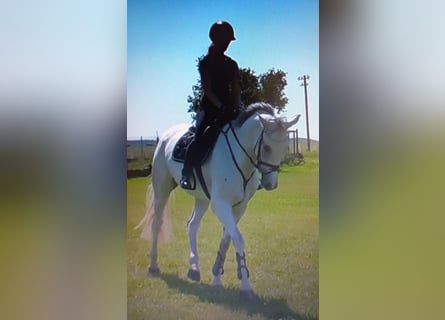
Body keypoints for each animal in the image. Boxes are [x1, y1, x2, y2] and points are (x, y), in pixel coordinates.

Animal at [137, 103, 300, 302]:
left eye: (285, 147)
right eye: (267, 147)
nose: (271, 185)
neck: (240, 156)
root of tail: (165, 136)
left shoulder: (239, 207)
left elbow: (227, 241)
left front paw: (217, 278)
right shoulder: (221, 205)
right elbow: (238, 239)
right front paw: (246, 287)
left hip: (201, 199)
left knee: (192, 226)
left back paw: (194, 269)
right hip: (162, 189)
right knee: (157, 224)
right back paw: (153, 265)